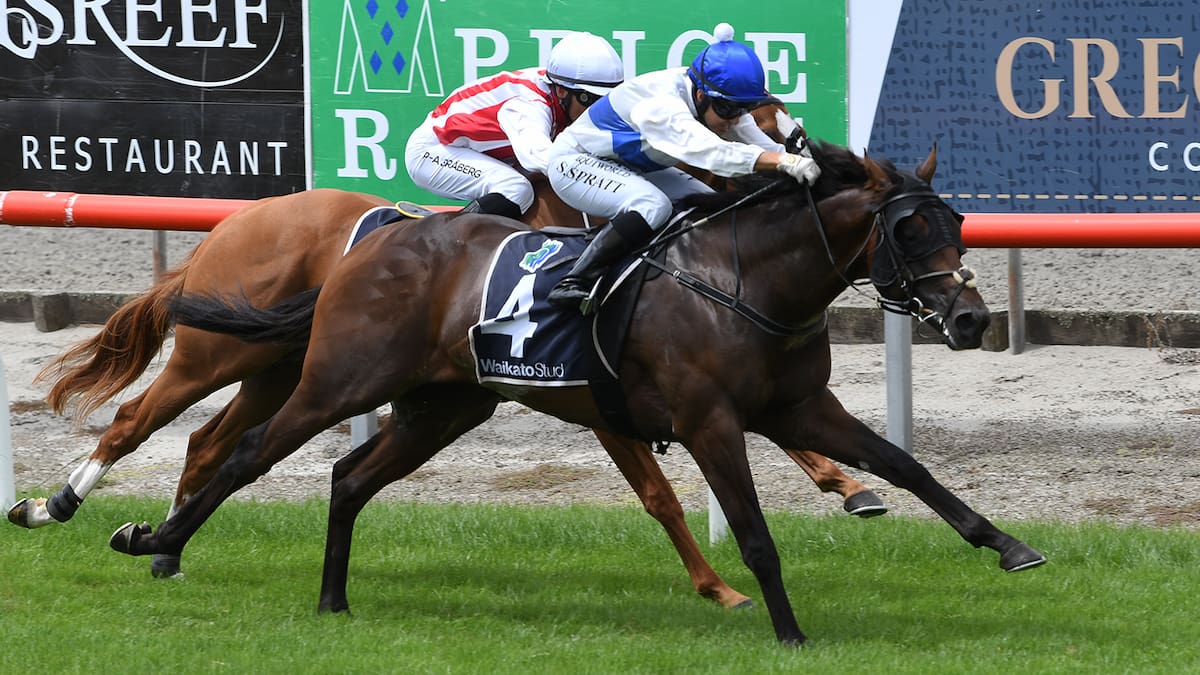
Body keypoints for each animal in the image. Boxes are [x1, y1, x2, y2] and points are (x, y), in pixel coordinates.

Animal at [10, 182, 882, 602]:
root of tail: (239, 221)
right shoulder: (601, 395)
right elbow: (662, 494)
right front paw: (720, 583)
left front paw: (849, 485)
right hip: (219, 354)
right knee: (136, 420)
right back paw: (53, 506)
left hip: (279, 369)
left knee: (208, 440)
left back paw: (165, 547)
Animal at [108, 141, 1047, 646]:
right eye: (909, 228)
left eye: (958, 221)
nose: (970, 317)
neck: (740, 279)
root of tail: (369, 243)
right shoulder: (709, 421)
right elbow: (751, 531)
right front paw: (789, 630)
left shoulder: (799, 407)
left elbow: (906, 468)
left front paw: (1008, 545)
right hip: (339, 379)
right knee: (243, 454)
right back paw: (158, 540)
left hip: (444, 405)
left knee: (347, 478)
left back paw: (332, 596)